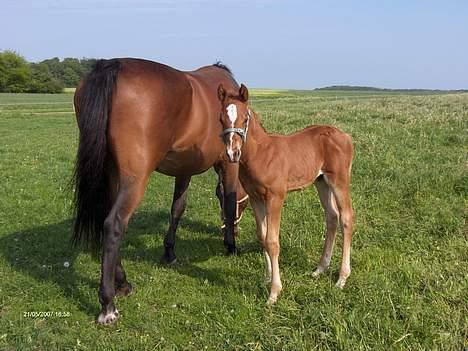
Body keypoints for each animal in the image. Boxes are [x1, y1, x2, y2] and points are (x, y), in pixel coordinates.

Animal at [72, 58, 249, 324]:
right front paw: (231, 245)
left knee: (106, 219)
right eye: (245, 203)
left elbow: (177, 208)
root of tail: (111, 66)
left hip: (111, 174)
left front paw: (169, 252)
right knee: (114, 224)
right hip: (134, 179)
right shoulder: (228, 162)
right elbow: (228, 201)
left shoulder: (185, 169)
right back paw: (108, 304)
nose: (237, 231)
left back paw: (122, 283)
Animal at [217, 84, 354, 306]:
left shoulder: (275, 197)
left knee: (347, 218)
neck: (262, 154)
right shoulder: (255, 198)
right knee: (332, 217)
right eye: (221, 119)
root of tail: (344, 135)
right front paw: (266, 278)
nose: (232, 153)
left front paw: (274, 292)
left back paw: (342, 278)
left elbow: (273, 242)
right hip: (321, 181)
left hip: (339, 180)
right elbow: (262, 236)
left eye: (245, 119)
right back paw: (320, 268)